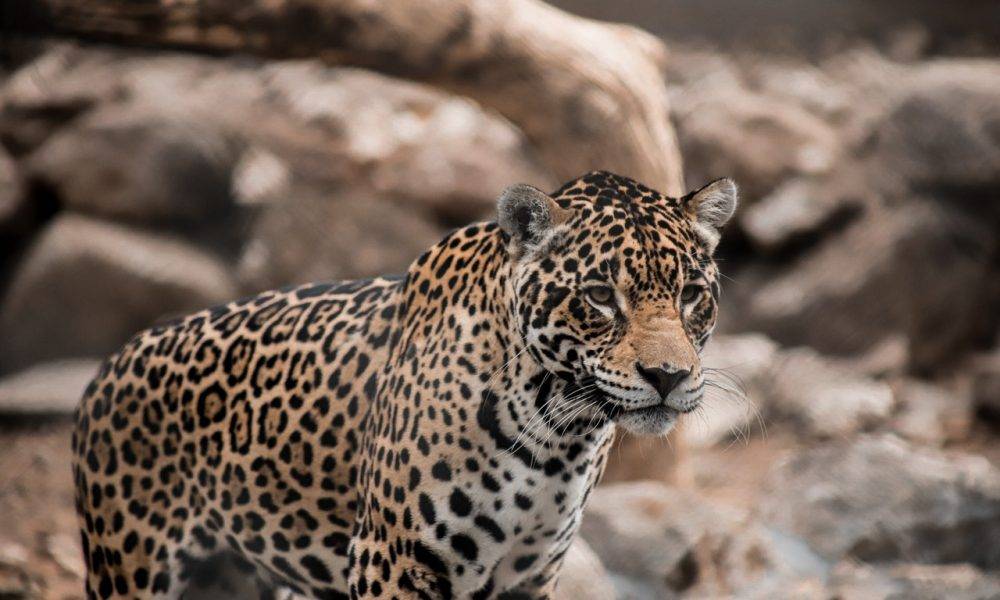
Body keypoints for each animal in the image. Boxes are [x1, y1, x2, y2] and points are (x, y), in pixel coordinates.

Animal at [72, 170, 738, 600]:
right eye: (599, 296)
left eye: (691, 295)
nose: (668, 377)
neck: (557, 431)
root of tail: (106, 369)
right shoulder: (389, 560)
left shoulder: (529, 576)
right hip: (130, 570)